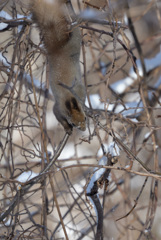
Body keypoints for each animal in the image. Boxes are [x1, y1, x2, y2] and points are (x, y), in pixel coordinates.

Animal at [29, 0, 86, 134]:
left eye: (85, 118)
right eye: (74, 124)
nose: (84, 129)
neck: (68, 98)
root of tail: (57, 49)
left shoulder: (80, 92)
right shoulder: (58, 109)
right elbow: (57, 115)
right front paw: (67, 128)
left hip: (74, 44)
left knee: (76, 32)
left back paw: (72, 13)